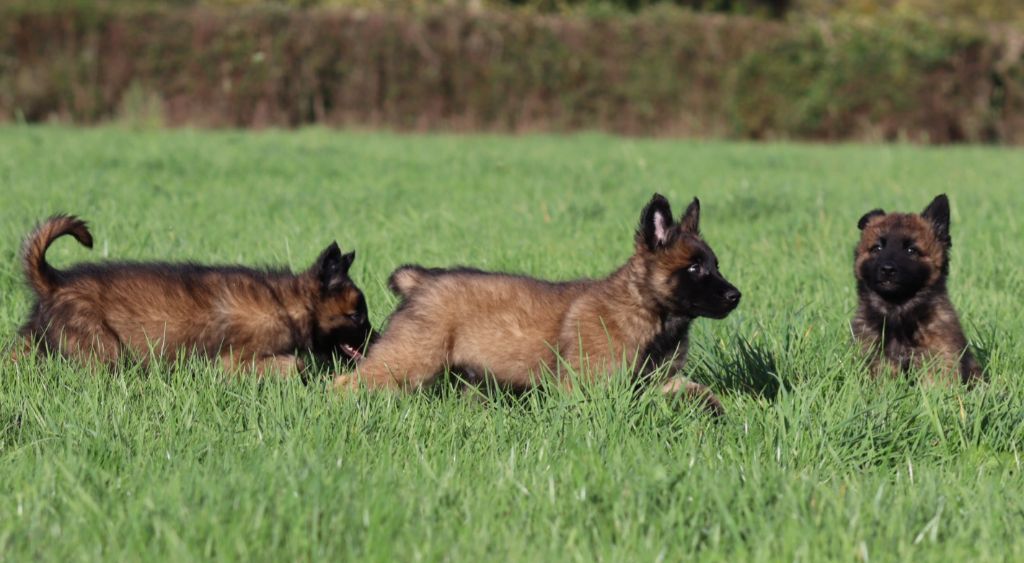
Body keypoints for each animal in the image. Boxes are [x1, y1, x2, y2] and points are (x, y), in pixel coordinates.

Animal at [19, 215, 374, 374]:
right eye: (357, 315)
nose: (378, 341)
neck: (287, 304)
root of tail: (55, 281)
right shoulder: (233, 362)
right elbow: (295, 364)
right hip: (103, 349)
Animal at [335, 194, 745, 415]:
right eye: (694, 268)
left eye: (715, 265)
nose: (735, 296)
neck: (648, 309)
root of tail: (422, 281)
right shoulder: (585, 386)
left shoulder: (658, 379)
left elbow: (701, 393)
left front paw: (723, 418)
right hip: (410, 359)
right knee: (346, 382)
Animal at [851, 196, 978, 386]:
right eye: (877, 248)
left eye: (911, 250)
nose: (887, 269)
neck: (897, 311)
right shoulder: (876, 359)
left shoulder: (937, 358)